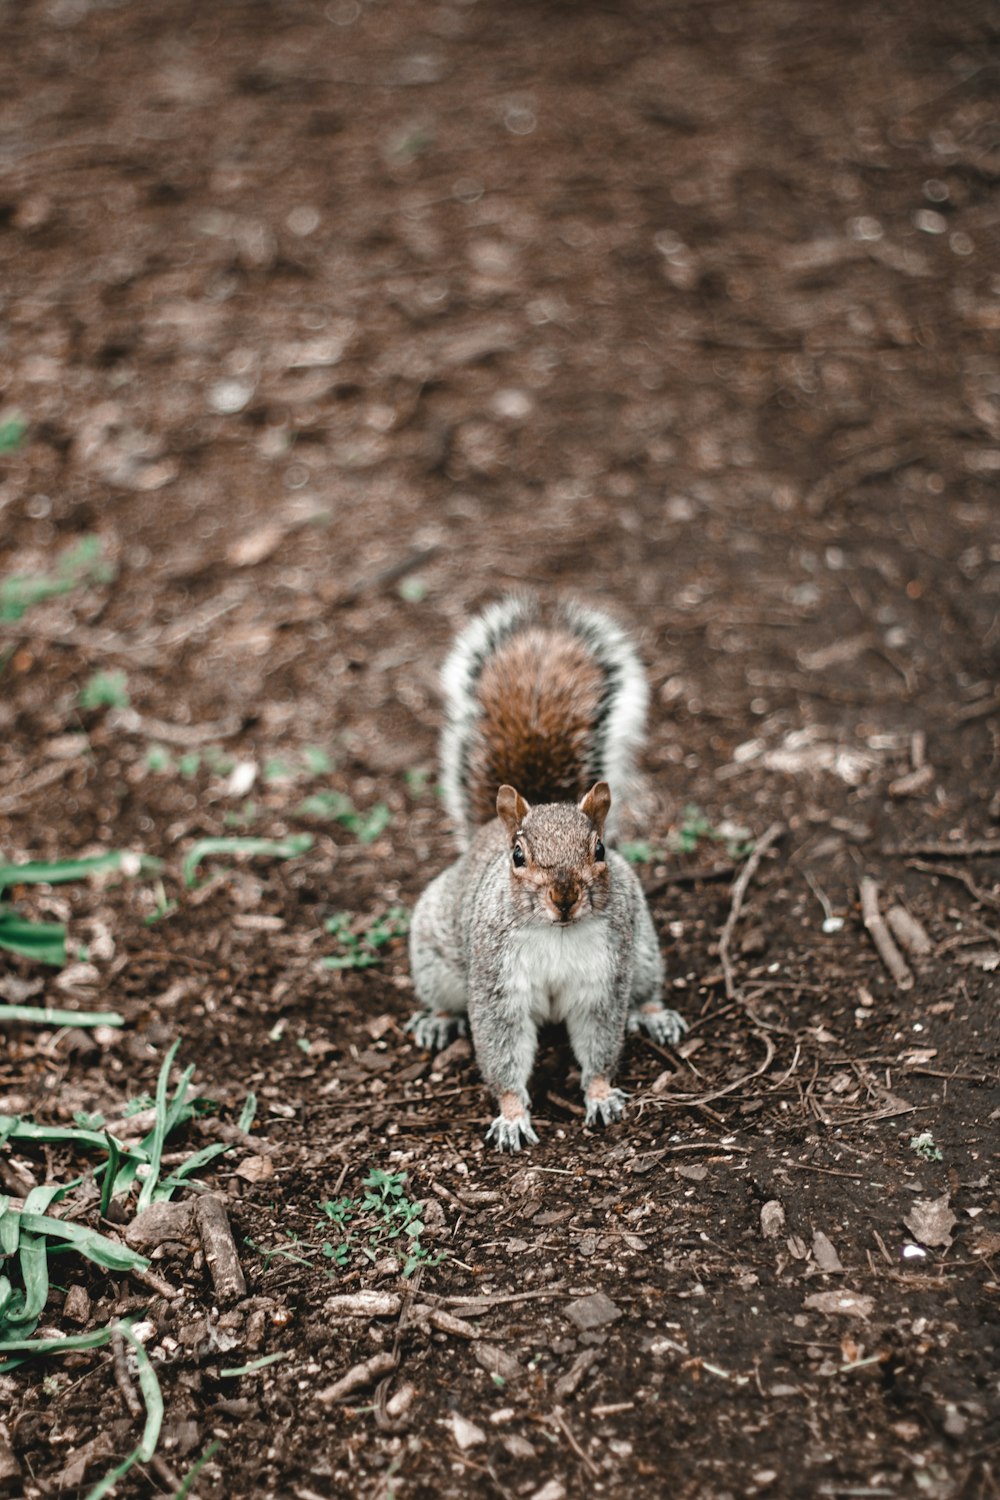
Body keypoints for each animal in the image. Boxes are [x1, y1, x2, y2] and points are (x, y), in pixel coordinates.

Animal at [407, 594, 689, 1146]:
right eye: (518, 856)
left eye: (600, 849)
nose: (564, 896)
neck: (557, 933)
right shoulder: (497, 985)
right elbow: (502, 1050)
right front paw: (512, 1115)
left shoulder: (605, 979)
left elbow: (601, 1042)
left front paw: (600, 1095)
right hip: (434, 956)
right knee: (445, 999)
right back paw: (437, 1020)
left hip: (644, 949)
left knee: (645, 989)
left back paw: (655, 1015)